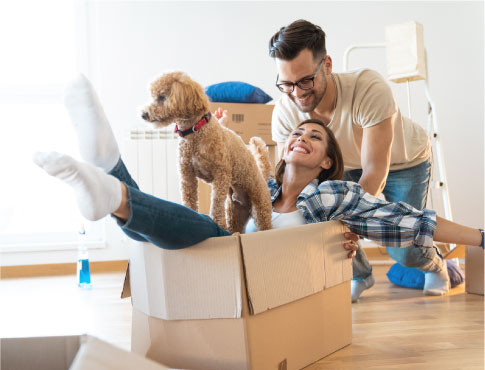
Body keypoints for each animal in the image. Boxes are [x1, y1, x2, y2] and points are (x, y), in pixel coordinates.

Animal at [142, 71, 274, 233]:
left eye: (162, 97)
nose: (143, 114)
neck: (195, 132)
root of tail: (262, 176)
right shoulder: (187, 174)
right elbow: (189, 197)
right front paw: (190, 214)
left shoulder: (221, 173)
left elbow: (216, 202)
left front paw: (218, 223)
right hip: (235, 212)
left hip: (261, 208)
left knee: (265, 225)